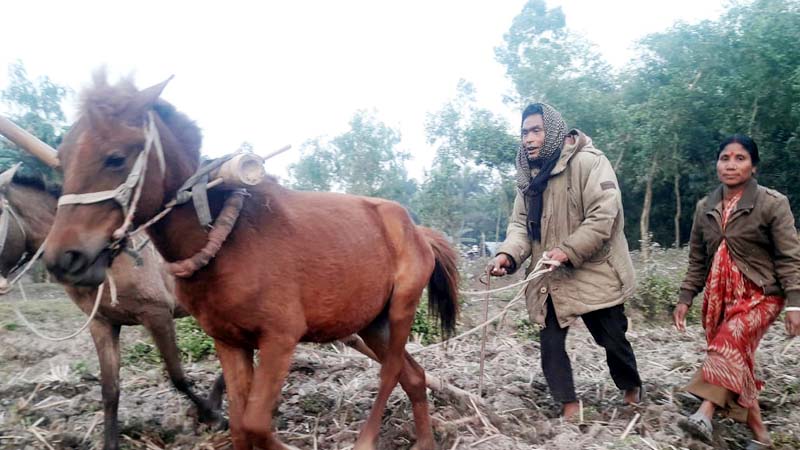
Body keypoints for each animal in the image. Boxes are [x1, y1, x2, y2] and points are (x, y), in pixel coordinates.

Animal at [39, 77, 462, 450]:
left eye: (116, 157)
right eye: (62, 161)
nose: (62, 257)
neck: (225, 243)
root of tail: (417, 229)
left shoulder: (280, 338)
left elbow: (257, 425)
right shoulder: (230, 342)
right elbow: (241, 427)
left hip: (402, 308)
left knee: (391, 372)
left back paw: (367, 440)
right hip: (371, 322)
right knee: (414, 375)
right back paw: (425, 441)